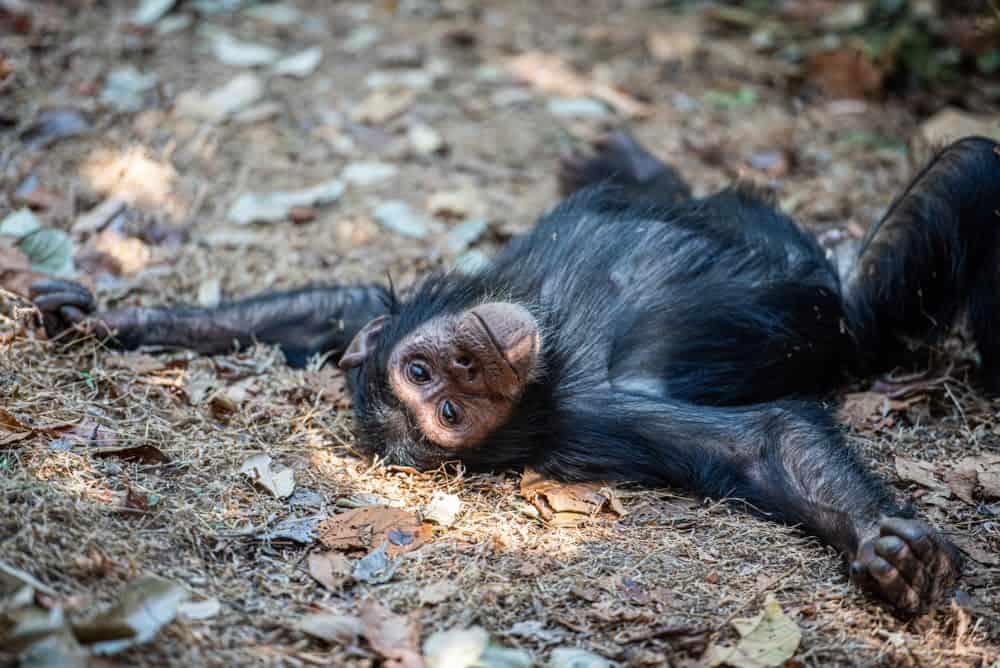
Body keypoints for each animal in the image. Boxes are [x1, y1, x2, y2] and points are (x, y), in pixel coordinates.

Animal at [33, 132, 1000, 616]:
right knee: (969, 170)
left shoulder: (380, 317)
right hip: (868, 310)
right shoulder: (606, 414)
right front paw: (891, 553)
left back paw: (633, 162)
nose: (466, 360)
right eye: (447, 407)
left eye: (427, 370)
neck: (555, 340)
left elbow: (338, 307)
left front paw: (110, 317)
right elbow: (764, 443)